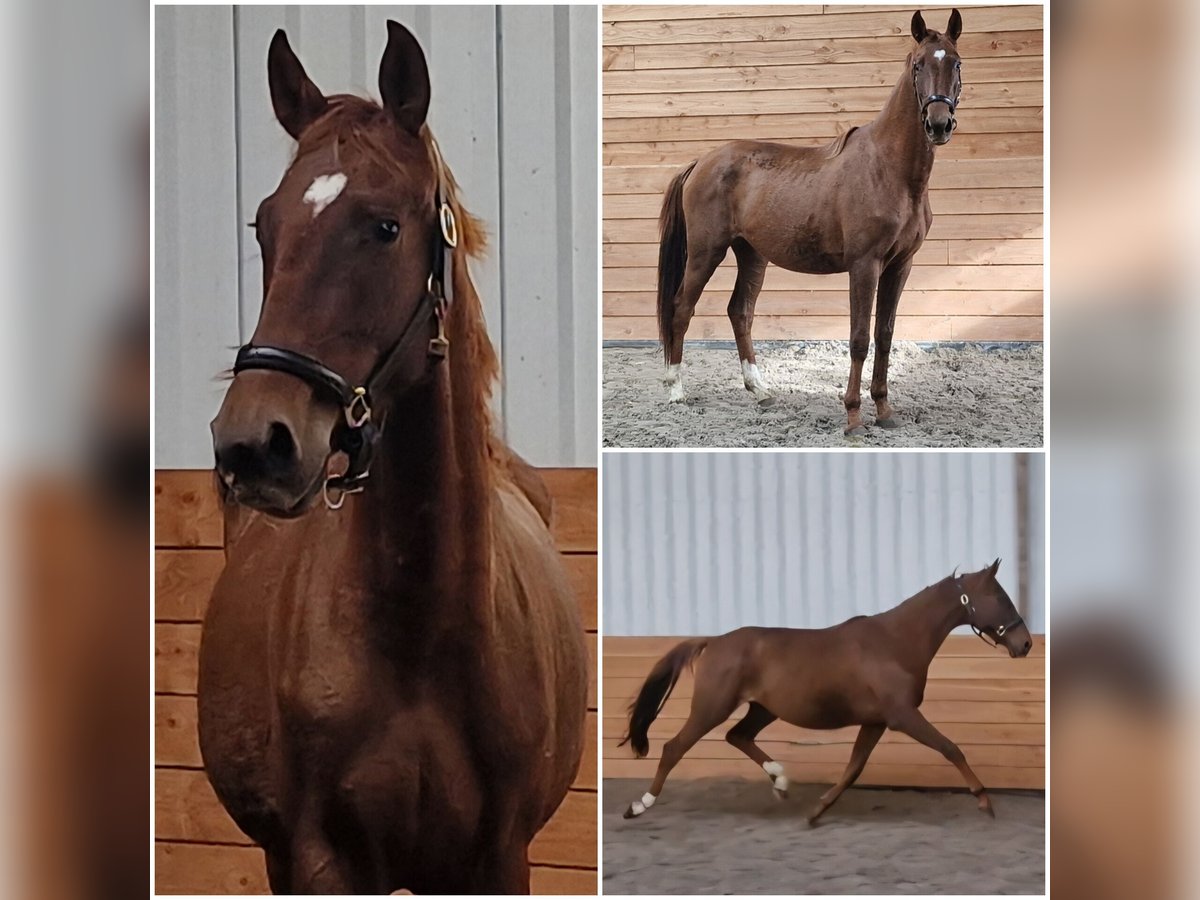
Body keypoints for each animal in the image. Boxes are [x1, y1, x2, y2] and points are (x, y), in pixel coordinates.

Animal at [200, 22, 588, 894]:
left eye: (383, 226)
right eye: (264, 227)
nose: (252, 445)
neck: (418, 633)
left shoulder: (498, 859)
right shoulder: (318, 859)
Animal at [619, 559, 1032, 824]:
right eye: (1001, 598)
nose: (1026, 643)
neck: (895, 643)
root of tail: (714, 642)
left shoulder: (876, 721)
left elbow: (853, 769)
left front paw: (815, 813)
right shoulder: (903, 717)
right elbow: (950, 748)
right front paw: (985, 802)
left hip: (761, 708)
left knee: (737, 736)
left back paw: (780, 780)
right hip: (712, 707)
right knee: (675, 747)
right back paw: (638, 806)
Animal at [655, 9, 965, 435]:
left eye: (956, 63)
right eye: (918, 65)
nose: (939, 124)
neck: (890, 169)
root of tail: (701, 161)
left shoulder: (901, 265)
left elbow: (885, 336)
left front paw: (885, 411)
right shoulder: (864, 265)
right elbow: (859, 338)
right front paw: (853, 417)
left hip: (751, 254)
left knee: (740, 312)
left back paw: (760, 391)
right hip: (706, 253)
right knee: (681, 307)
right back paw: (675, 390)